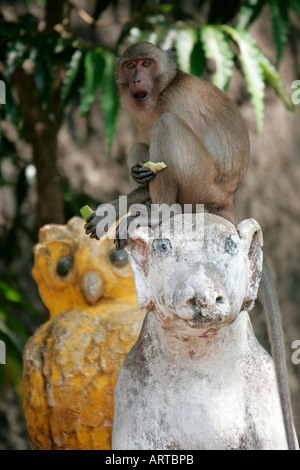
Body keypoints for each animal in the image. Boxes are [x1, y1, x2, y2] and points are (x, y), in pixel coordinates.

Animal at [84, 42, 298, 450]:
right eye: (130, 65)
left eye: (146, 63)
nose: (138, 78)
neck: (161, 89)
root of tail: (227, 198)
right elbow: (142, 165)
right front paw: (113, 207)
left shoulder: (169, 104)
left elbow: (164, 131)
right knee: (141, 145)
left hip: (202, 181)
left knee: (166, 128)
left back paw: (159, 211)